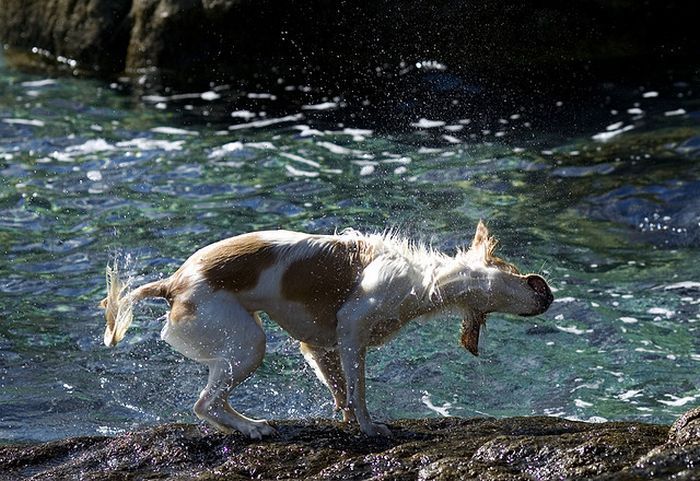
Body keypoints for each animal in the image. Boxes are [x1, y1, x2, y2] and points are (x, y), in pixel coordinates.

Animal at [101, 221, 556, 438]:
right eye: (513, 268)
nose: (550, 296)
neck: (426, 281)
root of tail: (171, 284)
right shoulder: (352, 329)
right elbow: (360, 390)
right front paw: (371, 428)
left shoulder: (319, 346)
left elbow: (342, 390)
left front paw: (349, 419)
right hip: (248, 342)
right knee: (204, 404)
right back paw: (250, 427)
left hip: (238, 344)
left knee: (210, 404)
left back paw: (244, 425)